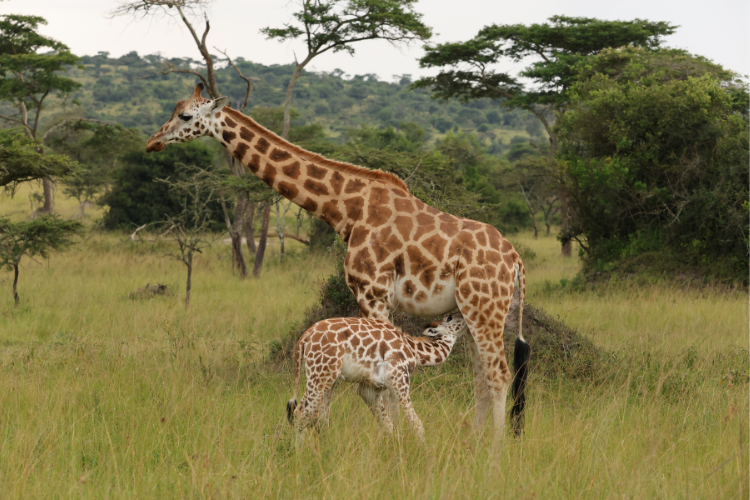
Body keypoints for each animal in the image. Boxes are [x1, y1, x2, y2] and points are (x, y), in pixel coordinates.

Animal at [287, 313, 469, 442]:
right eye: (450, 317)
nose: (465, 316)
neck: (414, 350)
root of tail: (305, 337)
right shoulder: (398, 378)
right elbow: (416, 424)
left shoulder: (371, 387)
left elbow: (389, 425)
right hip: (320, 373)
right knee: (300, 413)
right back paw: (300, 457)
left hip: (328, 378)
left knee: (321, 418)